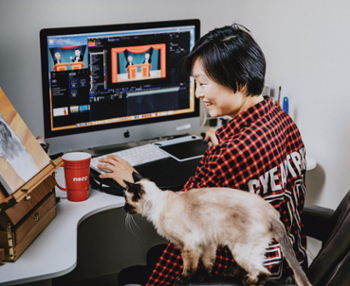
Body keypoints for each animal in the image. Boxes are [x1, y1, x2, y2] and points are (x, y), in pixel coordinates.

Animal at [123, 172, 312, 286]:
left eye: (126, 200)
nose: (124, 209)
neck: (158, 205)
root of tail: (272, 213)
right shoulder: (206, 243)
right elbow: (206, 263)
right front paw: (203, 277)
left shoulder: (188, 245)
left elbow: (189, 267)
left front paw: (182, 280)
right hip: (248, 250)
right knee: (263, 268)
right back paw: (241, 276)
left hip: (240, 252)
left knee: (263, 272)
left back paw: (248, 281)